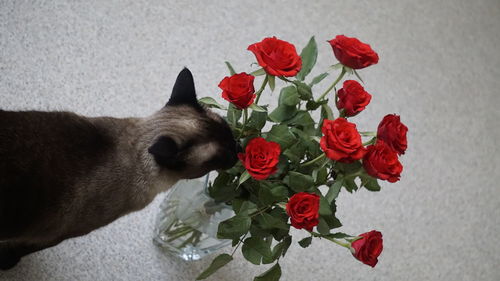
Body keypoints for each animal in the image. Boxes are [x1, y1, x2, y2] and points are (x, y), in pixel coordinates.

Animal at [0, 68, 239, 270]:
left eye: (229, 133)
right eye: (222, 156)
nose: (238, 151)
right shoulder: (51, 235)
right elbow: (17, 250)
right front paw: (7, 264)